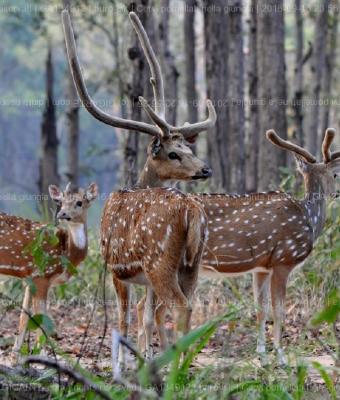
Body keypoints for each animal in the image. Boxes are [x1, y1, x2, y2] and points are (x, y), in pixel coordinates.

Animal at [0, 183, 98, 354]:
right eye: (61, 202)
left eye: (79, 202)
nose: (62, 213)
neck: (67, 252)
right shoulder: (42, 274)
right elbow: (41, 319)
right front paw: (41, 353)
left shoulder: (30, 277)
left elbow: (23, 317)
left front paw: (16, 353)